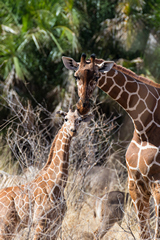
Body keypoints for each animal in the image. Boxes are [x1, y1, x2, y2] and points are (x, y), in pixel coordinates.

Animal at [0, 109, 92, 240]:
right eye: (66, 119)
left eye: (79, 120)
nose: (73, 131)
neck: (58, 185)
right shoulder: (40, 222)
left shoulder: (56, 225)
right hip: (6, 226)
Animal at [62, 53, 160, 239]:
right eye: (76, 75)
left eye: (97, 76)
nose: (83, 107)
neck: (143, 126)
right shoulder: (135, 182)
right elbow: (144, 232)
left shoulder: (156, 181)